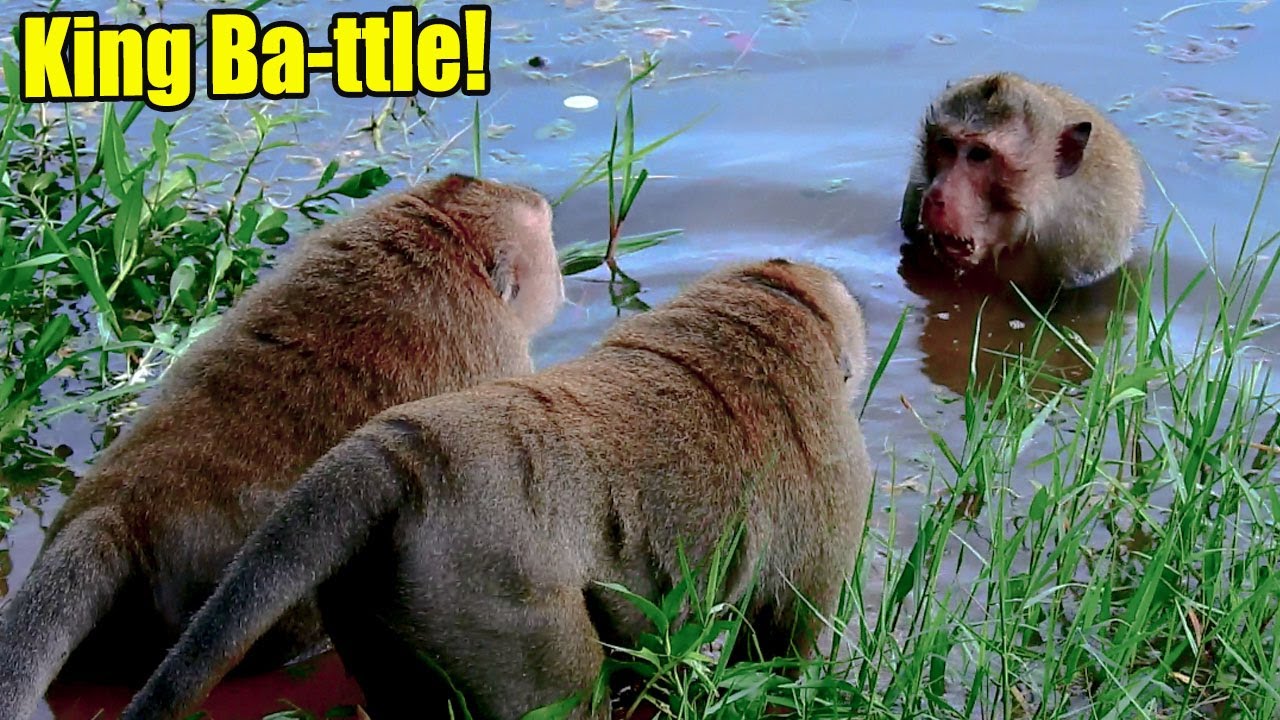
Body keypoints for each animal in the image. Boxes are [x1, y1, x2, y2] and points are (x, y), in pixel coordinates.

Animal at [118, 259, 874, 720]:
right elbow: (784, 635)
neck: (757, 311)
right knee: (561, 698)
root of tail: (395, 464)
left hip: (373, 596)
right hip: (489, 597)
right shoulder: (836, 469)